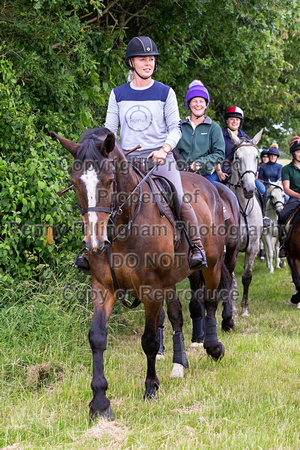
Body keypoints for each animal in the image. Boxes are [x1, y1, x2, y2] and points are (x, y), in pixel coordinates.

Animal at [51, 126, 226, 418]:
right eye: (75, 183)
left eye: (110, 181)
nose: (94, 243)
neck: (123, 224)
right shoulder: (103, 286)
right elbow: (97, 338)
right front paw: (100, 401)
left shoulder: (151, 289)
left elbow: (150, 341)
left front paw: (151, 388)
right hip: (170, 282)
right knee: (177, 318)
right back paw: (179, 364)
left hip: (211, 265)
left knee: (210, 303)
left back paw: (213, 348)